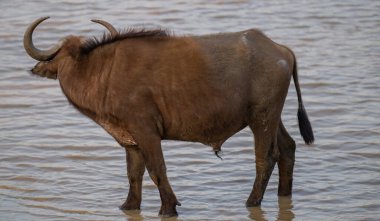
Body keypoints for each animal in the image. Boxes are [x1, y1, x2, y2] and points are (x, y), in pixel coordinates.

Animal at [24, 16, 314, 216]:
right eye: (65, 56)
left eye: (78, 55)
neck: (104, 72)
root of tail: (280, 49)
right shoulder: (130, 140)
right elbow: (133, 173)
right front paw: (129, 205)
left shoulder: (147, 133)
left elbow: (156, 169)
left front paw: (168, 207)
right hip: (272, 118)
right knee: (287, 148)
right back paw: (283, 195)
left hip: (261, 119)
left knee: (266, 157)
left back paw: (252, 201)